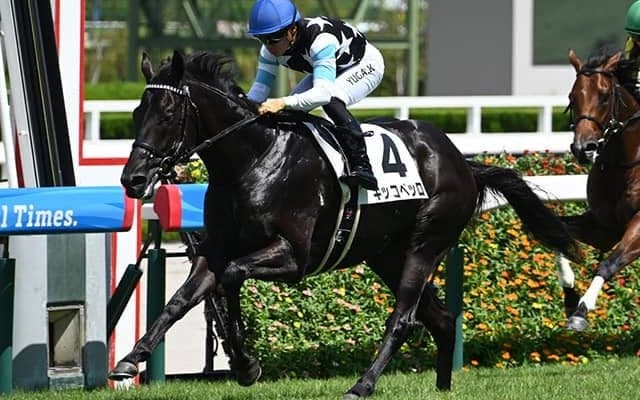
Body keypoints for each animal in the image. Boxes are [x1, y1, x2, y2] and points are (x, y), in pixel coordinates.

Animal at [112, 50, 581, 398]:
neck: (255, 159)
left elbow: (231, 276)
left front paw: (245, 363)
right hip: (387, 255)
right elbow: (180, 300)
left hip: (426, 243)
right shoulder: (218, 247)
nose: (132, 179)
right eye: (136, 112)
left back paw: (363, 384)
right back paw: (442, 386)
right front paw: (131, 359)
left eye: (167, 112)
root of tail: (463, 164)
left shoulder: (294, 257)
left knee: (404, 319)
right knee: (441, 318)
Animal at [558, 49, 640, 331]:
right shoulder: (605, 227)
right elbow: (560, 233)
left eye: (604, 97)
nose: (584, 148)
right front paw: (570, 295)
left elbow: (609, 262)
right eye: (572, 97)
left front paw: (581, 312)